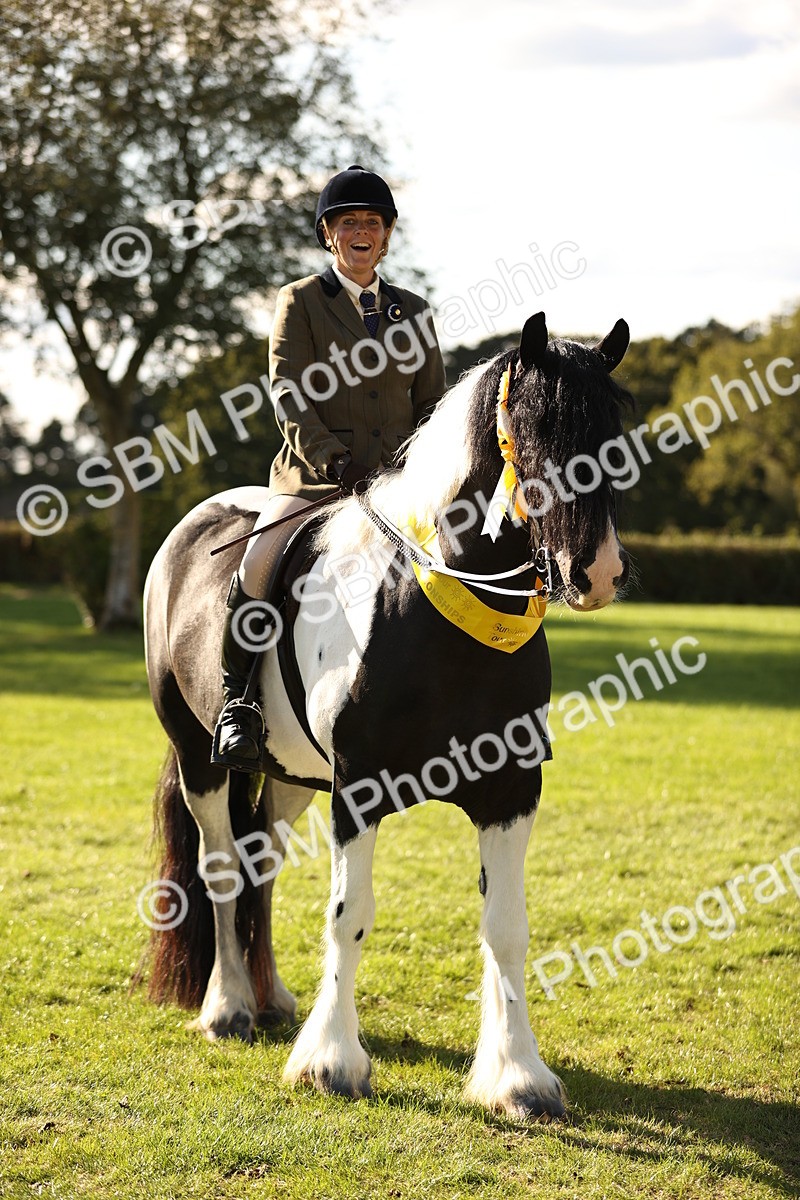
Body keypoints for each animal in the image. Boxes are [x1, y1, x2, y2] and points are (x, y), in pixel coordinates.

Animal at [142, 311, 632, 1122]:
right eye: (535, 427)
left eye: (617, 431)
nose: (593, 572)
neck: (439, 616)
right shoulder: (360, 791)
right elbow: (350, 915)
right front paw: (332, 1062)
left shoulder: (512, 792)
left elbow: (507, 927)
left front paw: (518, 1076)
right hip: (199, 757)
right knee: (221, 866)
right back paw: (229, 1008)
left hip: (289, 775)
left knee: (261, 863)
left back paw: (272, 998)